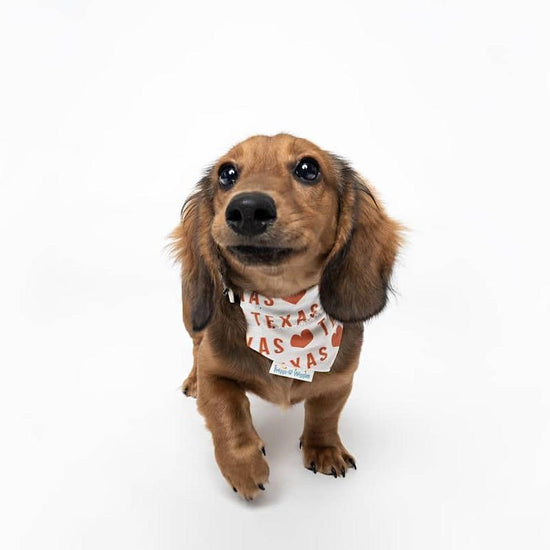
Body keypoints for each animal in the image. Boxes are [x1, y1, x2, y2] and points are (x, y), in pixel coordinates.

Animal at [170, 133, 404, 500]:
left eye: (309, 169)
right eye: (227, 173)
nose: (247, 208)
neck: (283, 306)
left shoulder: (340, 379)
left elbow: (325, 415)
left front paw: (324, 449)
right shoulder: (215, 372)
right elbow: (227, 414)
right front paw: (244, 468)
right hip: (192, 317)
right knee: (195, 347)